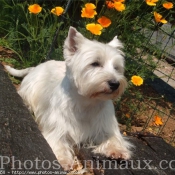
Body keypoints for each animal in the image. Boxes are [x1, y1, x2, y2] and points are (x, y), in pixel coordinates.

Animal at [5, 26, 134, 170]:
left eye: (116, 68)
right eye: (95, 63)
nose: (115, 84)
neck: (88, 102)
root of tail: (38, 66)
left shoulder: (105, 126)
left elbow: (113, 138)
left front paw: (118, 150)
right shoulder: (58, 127)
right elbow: (58, 142)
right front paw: (63, 160)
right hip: (30, 91)